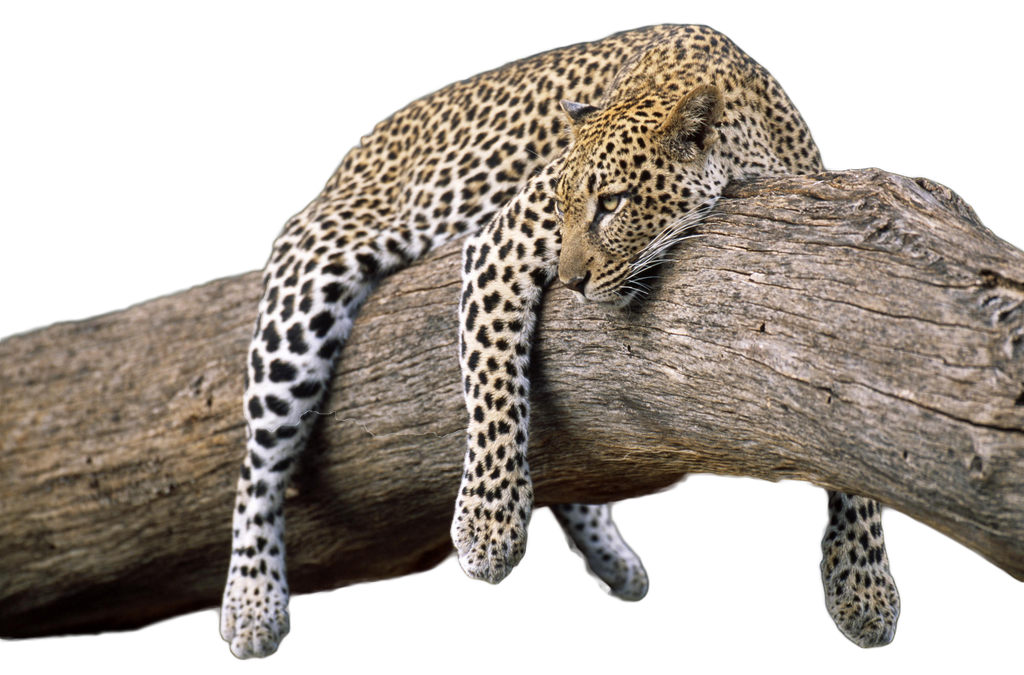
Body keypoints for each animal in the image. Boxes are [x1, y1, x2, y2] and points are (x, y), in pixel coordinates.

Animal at [219, 23, 901, 660]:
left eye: (614, 203)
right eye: (561, 205)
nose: (571, 282)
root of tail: (350, 158)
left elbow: (850, 437)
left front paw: (862, 586)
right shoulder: (498, 243)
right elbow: (495, 383)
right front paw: (488, 527)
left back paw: (612, 561)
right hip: (306, 292)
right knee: (259, 466)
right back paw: (252, 604)